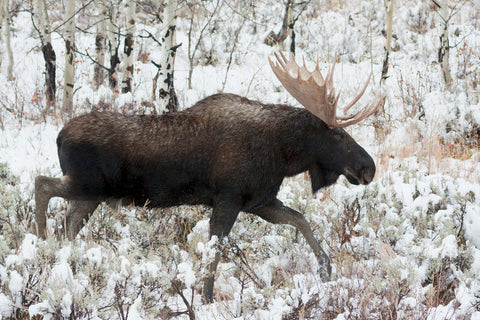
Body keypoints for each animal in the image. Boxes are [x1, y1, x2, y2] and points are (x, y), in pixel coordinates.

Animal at [33, 53, 380, 302]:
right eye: (338, 134)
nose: (369, 168)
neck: (283, 154)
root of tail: (59, 136)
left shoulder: (260, 201)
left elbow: (300, 219)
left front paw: (325, 268)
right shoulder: (229, 199)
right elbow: (213, 253)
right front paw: (206, 298)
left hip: (89, 195)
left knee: (68, 224)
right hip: (86, 184)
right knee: (42, 185)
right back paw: (40, 242)